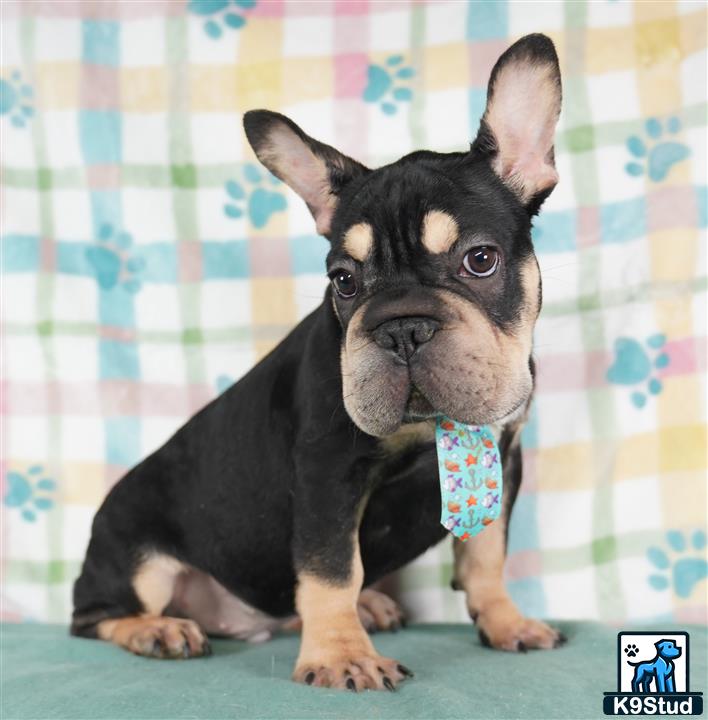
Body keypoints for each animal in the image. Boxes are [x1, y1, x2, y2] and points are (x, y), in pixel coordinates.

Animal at [72, 32, 564, 692]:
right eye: (343, 281)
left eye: (480, 260)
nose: (402, 327)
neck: (431, 427)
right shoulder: (328, 472)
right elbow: (332, 569)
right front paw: (341, 656)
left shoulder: (502, 459)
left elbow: (487, 554)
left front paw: (506, 622)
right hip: (134, 560)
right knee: (96, 616)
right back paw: (158, 630)